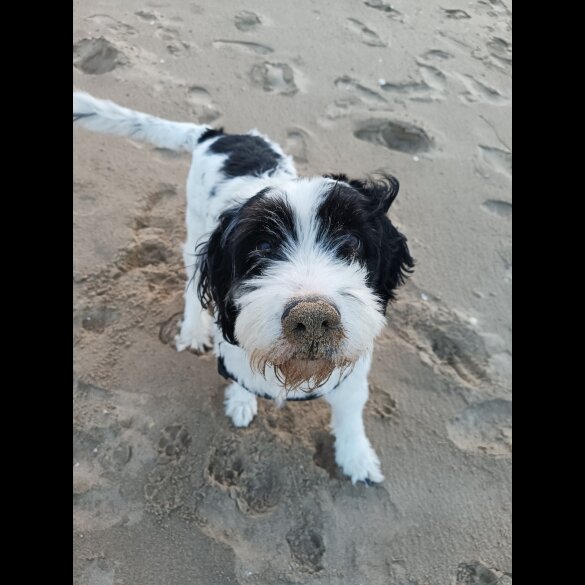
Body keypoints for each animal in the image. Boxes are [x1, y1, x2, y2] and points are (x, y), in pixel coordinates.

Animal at [73, 90, 412, 484]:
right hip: (194, 226)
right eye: (261, 247)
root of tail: (217, 135)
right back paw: (193, 329)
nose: (313, 319)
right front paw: (240, 401)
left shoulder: (353, 373)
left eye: (352, 241)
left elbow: (350, 414)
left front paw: (357, 458)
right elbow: (240, 376)